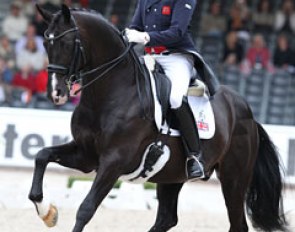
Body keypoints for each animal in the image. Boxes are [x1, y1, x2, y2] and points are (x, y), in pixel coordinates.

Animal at [28, 4, 288, 232]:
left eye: (66, 43)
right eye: (46, 42)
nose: (56, 93)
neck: (110, 93)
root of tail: (246, 109)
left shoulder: (113, 162)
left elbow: (86, 208)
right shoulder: (86, 155)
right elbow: (42, 156)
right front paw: (47, 213)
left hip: (234, 177)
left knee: (237, 224)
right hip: (172, 175)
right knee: (166, 219)